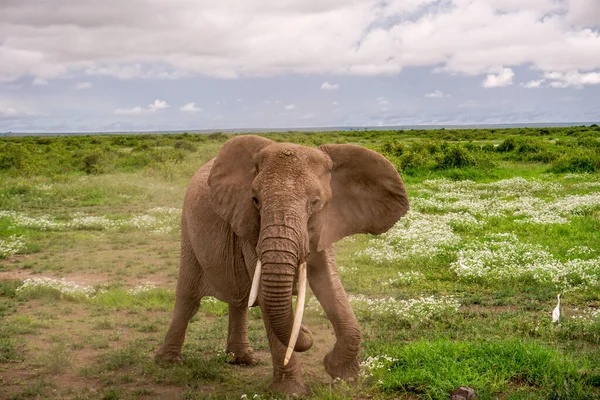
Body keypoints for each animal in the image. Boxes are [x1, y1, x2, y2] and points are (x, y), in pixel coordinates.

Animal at [155, 134, 410, 394]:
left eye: (315, 202)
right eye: (255, 200)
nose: (306, 330)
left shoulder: (324, 225)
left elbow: (330, 283)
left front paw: (344, 377)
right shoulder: (250, 225)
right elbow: (266, 296)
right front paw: (290, 392)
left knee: (240, 299)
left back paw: (243, 359)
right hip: (188, 230)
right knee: (188, 297)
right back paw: (168, 361)